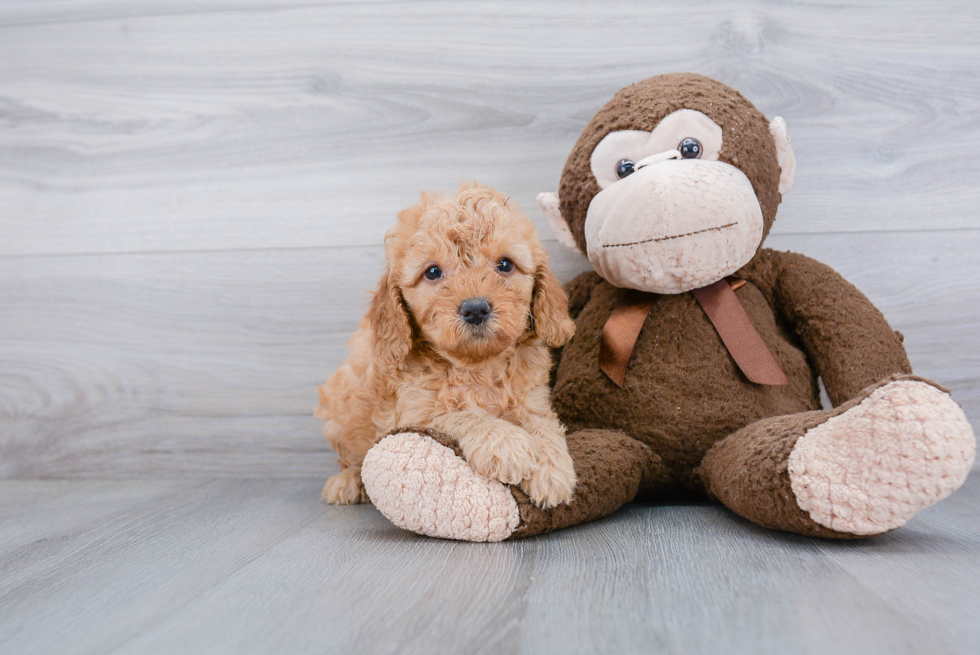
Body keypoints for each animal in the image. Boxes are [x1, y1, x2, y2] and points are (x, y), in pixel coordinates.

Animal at [314, 182, 580, 510]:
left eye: (505, 264)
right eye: (432, 272)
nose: (475, 309)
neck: (476, 366)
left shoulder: (533, 400)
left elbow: (542, 425)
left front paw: (550, 469)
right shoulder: (413, 414)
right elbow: (460, 415)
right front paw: (504, 443)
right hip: (340, 413)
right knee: (349, 459)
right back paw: (347, 482)